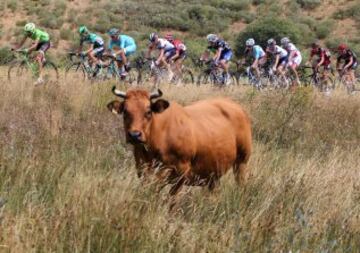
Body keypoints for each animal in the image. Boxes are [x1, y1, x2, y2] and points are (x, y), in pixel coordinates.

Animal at [108, 87, 252, 198]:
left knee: (241, 183)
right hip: (213, 170)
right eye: (125, 111)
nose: (134, 135)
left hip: (242, 161)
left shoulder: (181, 171)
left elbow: (172, 200)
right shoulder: (142, 169)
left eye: (148, 111)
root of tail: (234, 105)